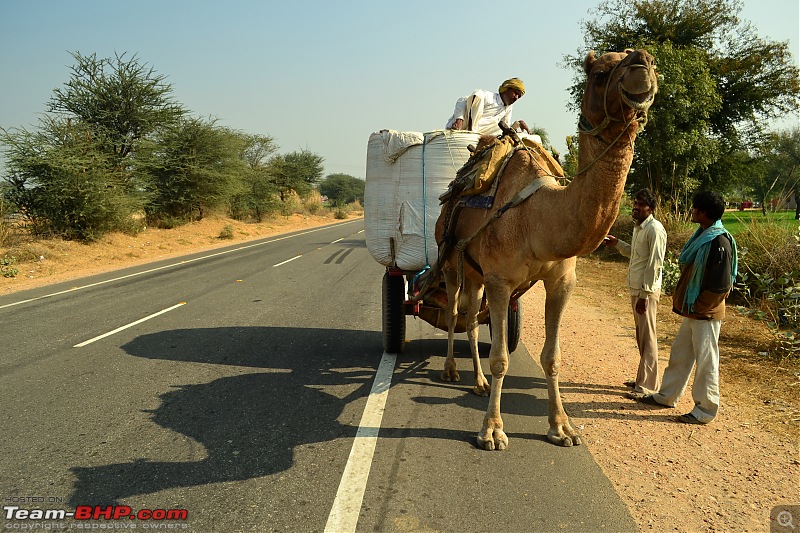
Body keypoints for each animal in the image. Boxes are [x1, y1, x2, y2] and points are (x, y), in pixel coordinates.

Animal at [434, 50, 660, 448]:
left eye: (654, 64)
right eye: (600, 74)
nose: (643, 63)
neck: (538, 217)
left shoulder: (561, 281)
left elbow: (552, 357)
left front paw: (562, 428)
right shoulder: (500, 281)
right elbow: (501, 358)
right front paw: (492, 431)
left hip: (475, 271)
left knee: (471, 317)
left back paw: (477, 382)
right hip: (451, 263)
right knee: (453, 309)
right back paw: (451, 370)